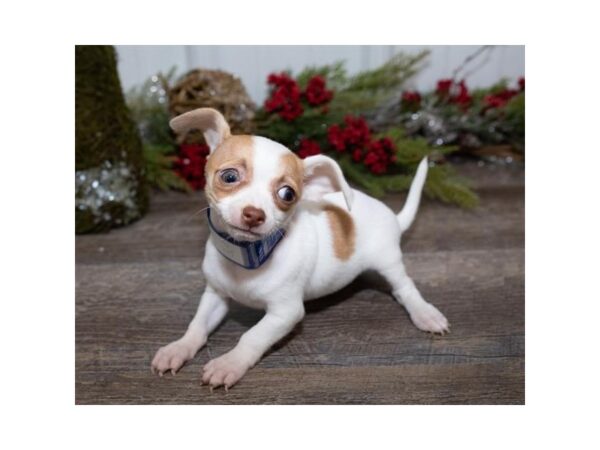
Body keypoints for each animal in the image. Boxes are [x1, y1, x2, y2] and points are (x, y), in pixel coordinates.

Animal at [152, 107, 448, 388]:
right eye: (229, 176)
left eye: (287, 194)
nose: (254, 214)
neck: (249, 257)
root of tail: (394, 217)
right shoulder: (215, 295)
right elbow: (197, 325)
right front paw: (178, 348)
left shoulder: (285, 313)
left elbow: (252, 336)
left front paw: (229, 363)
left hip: (389, 262)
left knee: (404, 288)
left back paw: (425, 313)